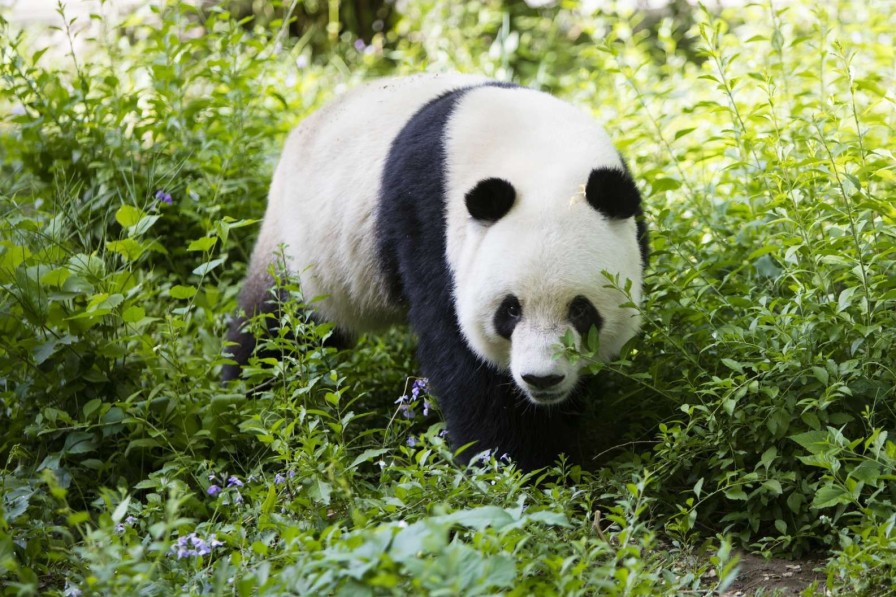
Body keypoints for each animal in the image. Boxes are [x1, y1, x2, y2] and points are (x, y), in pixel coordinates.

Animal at [222, 72, 644, 470]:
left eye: (580, 309)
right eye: (510, 310)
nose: (542, 379)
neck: (538, 152)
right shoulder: (429, 222)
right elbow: (464, 362)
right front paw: (514, 464)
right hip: (303, 247)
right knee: (274, 330)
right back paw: (245, 400)